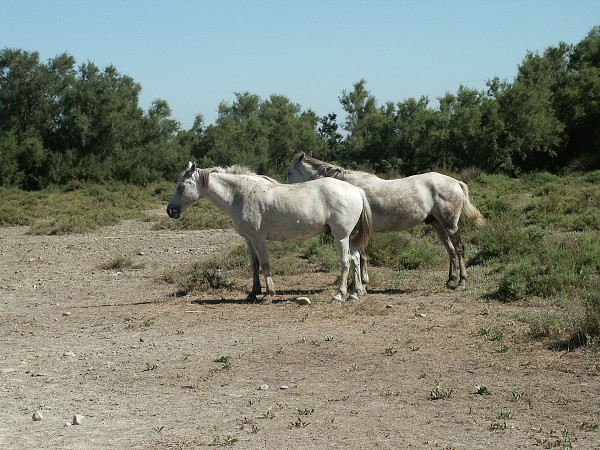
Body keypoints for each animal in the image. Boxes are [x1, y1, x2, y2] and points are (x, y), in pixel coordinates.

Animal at [169, 160, 372, 304]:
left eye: (181, 186)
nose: (170, 211)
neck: (239, 194)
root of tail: (355, 190)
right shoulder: (249, 239)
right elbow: (254, 264)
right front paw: (253, 293)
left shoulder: (259, 239)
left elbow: (265, 264)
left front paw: (268, 294)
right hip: (349, 237)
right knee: (355, 258)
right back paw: (355, 294)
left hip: (341, 236)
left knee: (345, 261)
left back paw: (338, 296)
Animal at [284, 153, 486, 290]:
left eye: (289, 172)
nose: (284, 188)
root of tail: (456, 183)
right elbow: (360, 256)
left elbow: (359, 256)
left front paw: (359, 283)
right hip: (437, 224)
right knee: (450, 249)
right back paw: (450, 280)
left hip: (450, 224)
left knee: (459, 249)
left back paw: (461, 283)